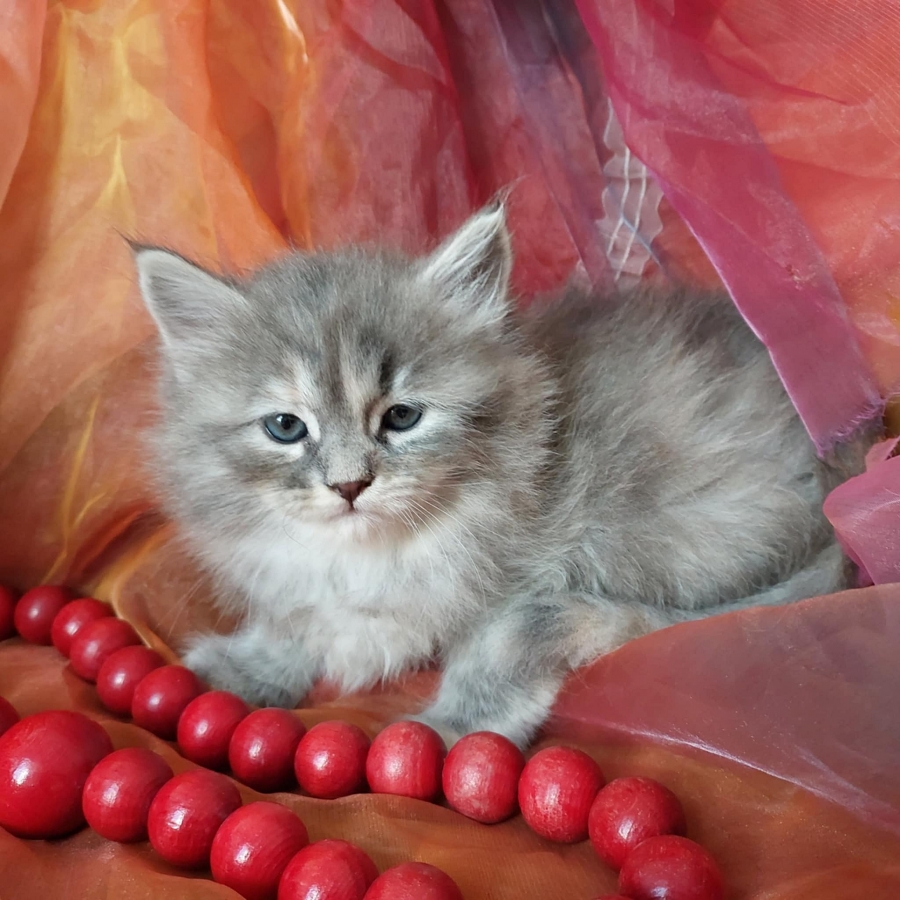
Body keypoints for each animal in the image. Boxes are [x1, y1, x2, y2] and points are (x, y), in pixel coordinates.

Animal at [134, 201, 858, 748]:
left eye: (401, 417)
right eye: (286, 428)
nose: (348, 486)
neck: (378, 553)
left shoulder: (532, 578)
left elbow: (500, 650)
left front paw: (451, 728)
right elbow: (294, 620)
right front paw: (245, 666)